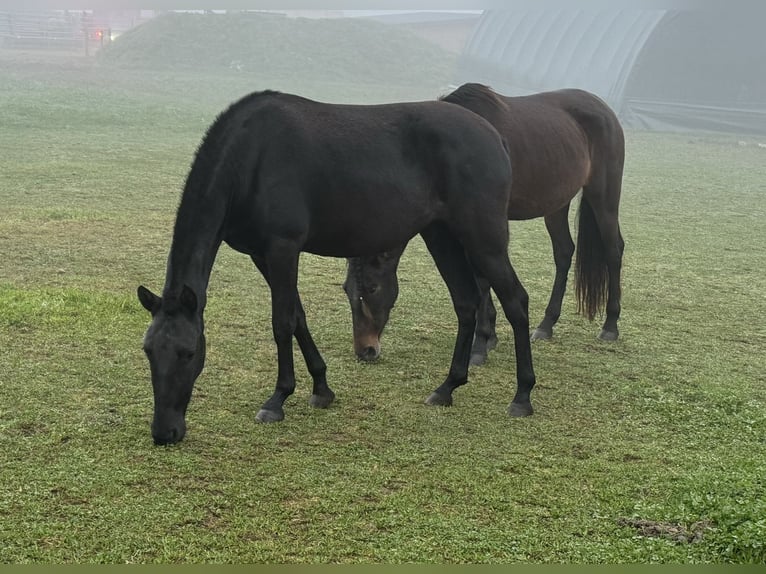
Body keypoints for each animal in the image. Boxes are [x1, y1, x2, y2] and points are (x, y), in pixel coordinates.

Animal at [138, 91, 536, 450]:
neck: (250, 157)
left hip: (483, 240)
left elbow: (282, 322)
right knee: (466, 302)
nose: (165, 433)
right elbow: (298, 317)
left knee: (516, 301)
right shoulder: (262, 256)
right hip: (441, 235)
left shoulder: (283, 249)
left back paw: (522, 395)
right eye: (148, 351)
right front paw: (321, 388)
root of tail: (494, 136)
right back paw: (447, 387)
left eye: (189, 353)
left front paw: (277, 399)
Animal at [344, 83, 628, 366]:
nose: (365, 350)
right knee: (563, 252)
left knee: (613, 249)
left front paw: (480, 343)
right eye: (347, 289)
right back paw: (546, 325)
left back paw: (610, 325)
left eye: (371, 288)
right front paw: (490, 336)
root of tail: (603, 108)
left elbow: (481, 280)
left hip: (603, 196)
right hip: (556, 204)